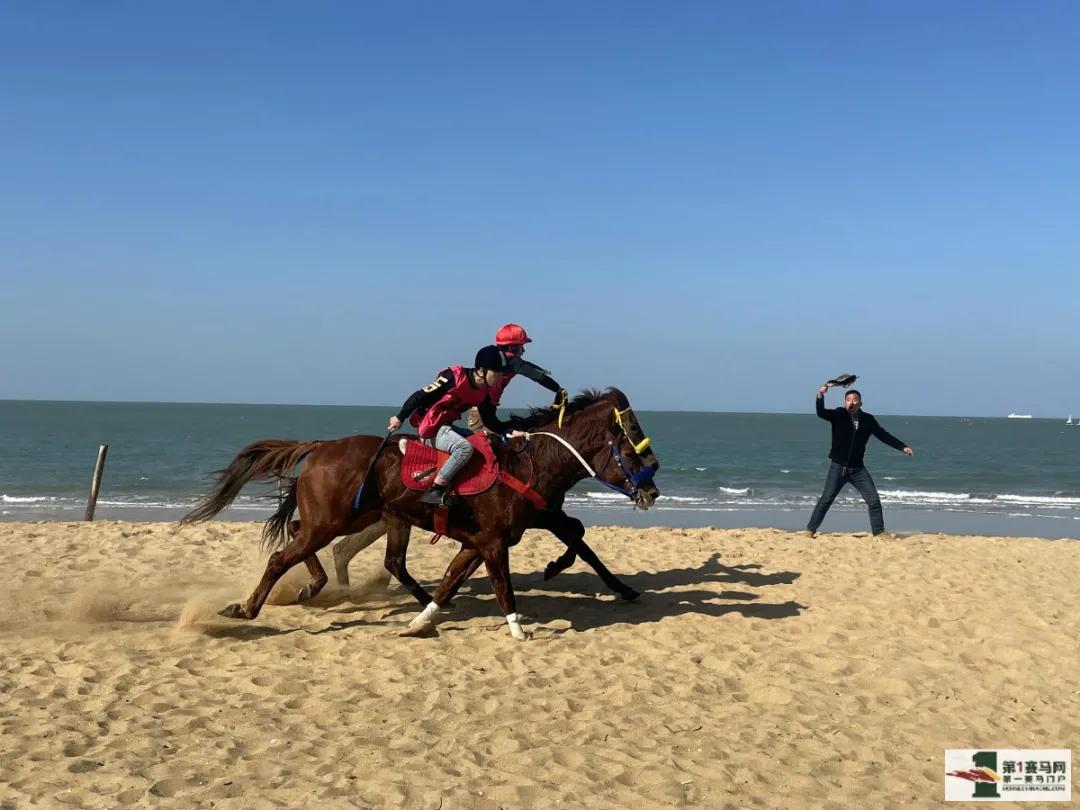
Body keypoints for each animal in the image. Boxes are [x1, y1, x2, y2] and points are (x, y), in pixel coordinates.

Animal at [179, 390, 656, 643]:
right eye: (633, 442)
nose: (651, 490)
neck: (526, 464)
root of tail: (321, 446)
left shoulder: (482, 541)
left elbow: (451, 580)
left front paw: (421, 621)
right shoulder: (494, 541)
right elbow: (504, 584)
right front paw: (519, 629)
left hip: (361, 517)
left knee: (352, 551)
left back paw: (315, 587)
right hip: (336, 520)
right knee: (283, 556)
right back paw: (247, 609)